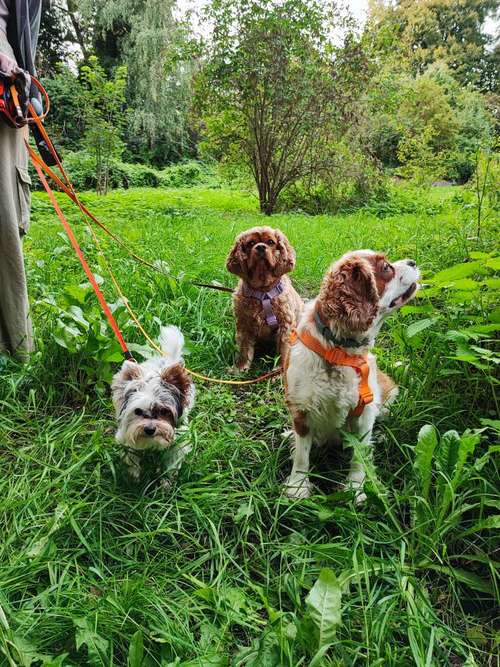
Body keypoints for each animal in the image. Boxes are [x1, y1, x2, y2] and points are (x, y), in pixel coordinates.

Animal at [228, 224, 304, 370]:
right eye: (251, 243)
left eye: (271, 242)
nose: (261, 247)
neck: (263, 293)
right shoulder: (244, 324)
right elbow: (244, 348)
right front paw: (240, 368)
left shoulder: (285, 326)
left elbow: (283, 351)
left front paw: (279, 371)